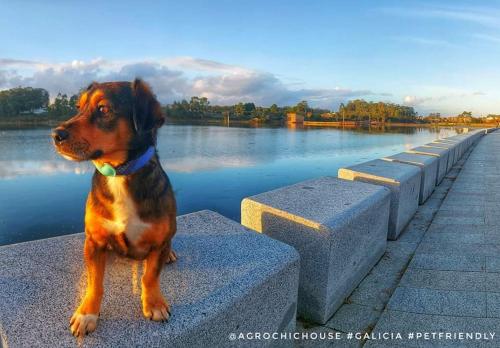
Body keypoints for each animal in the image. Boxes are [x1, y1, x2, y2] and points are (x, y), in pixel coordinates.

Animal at [52, 79, 178, 338]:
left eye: (103, 109)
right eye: (78, 107)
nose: (55, 135)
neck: (119, 173)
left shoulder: (158, 242)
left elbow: (150, 276)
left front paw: (154, 303)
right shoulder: (94, 241)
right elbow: (95, 283)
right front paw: (87, 313)